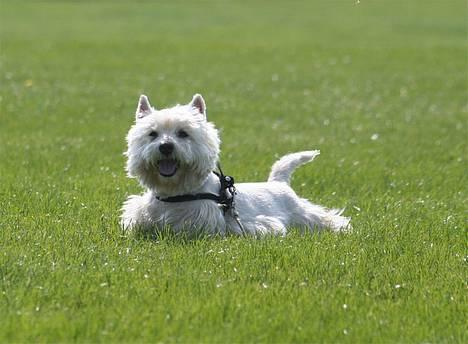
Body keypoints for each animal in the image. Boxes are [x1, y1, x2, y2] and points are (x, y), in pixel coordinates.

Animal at [121, 92, 352, 235]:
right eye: (152, 134)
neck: (175, 193)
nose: (166, 147)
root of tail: (279, 182)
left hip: (303, 213)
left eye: (183, 133)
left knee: (326, 218)